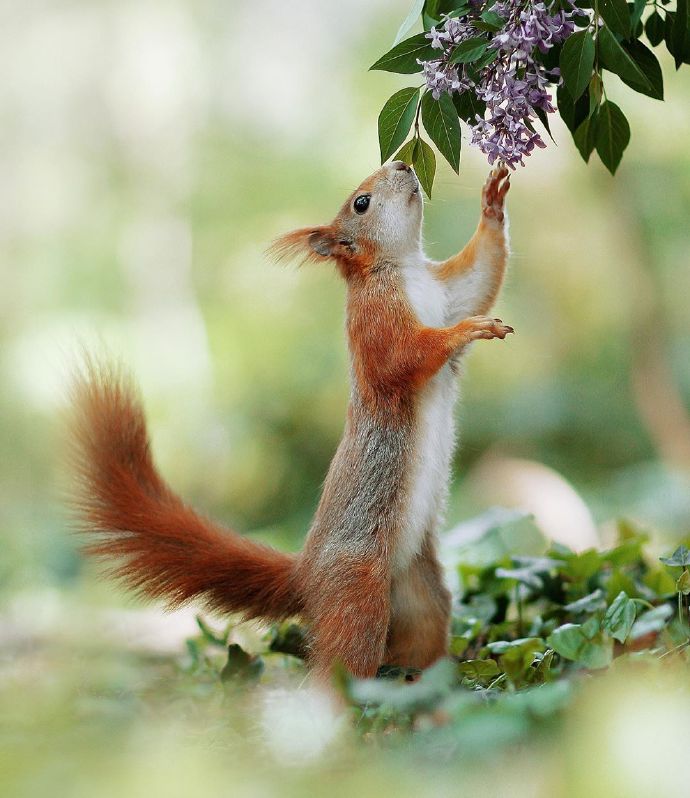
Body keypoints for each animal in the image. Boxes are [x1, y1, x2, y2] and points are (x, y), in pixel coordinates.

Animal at [71, 161, 510, 680]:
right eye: (361, 203)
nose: (401, 163)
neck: (403, 269)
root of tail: (308, 575)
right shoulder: (373, 322)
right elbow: (402, 357)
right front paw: (466, 331)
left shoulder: (447, 291)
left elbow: (479, 278)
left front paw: (494, 200)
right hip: (357, 592)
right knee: (341, 660)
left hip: (419, 591)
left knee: (419, 637)